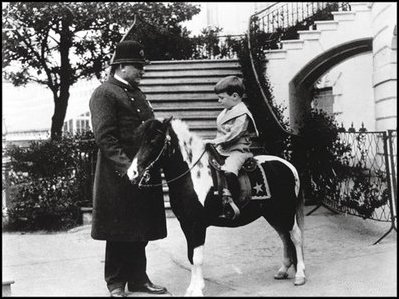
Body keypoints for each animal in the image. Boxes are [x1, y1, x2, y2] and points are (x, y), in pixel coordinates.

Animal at [130, 118, 304, 296]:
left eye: (154, 140)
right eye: (138, 140)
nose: (133, 173)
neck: (193, 176)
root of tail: (289, 166)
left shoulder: (197, 225)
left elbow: (197, 258)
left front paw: (197, 290)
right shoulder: (187, 225)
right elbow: (191, 256)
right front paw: (192, 288)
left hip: (286, 211)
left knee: (295, 237)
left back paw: (300, 276)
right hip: (273, 214)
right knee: (284, 237)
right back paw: (283, 270)